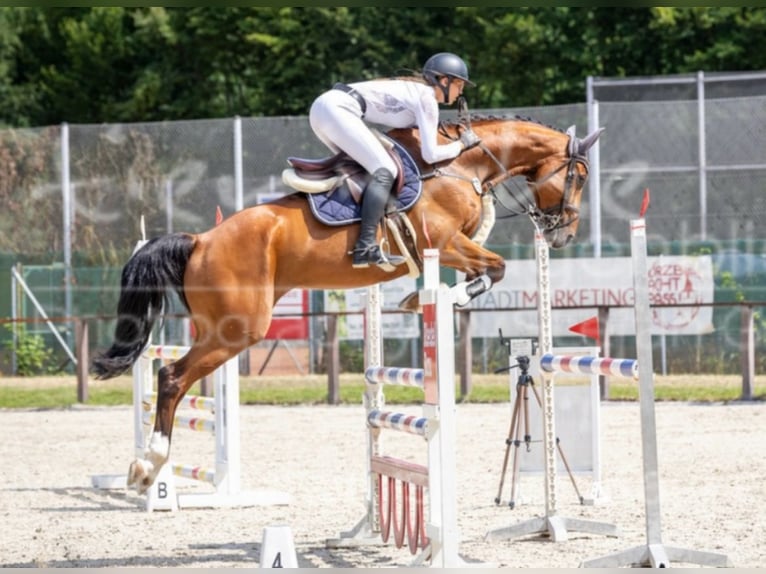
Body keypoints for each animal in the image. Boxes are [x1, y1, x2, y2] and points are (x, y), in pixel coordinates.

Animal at [91, 114, 603, 494]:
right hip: (238, 329)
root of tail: (201, 240)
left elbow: (489, 269)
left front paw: (424, 296)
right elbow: (494, 269)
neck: (463, 166)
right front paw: (430, 297)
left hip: (223, 327)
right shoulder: (443, 243)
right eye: (578, 175)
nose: (564, 234)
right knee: (171, 377)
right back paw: (147, 466)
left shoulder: (453, 246)